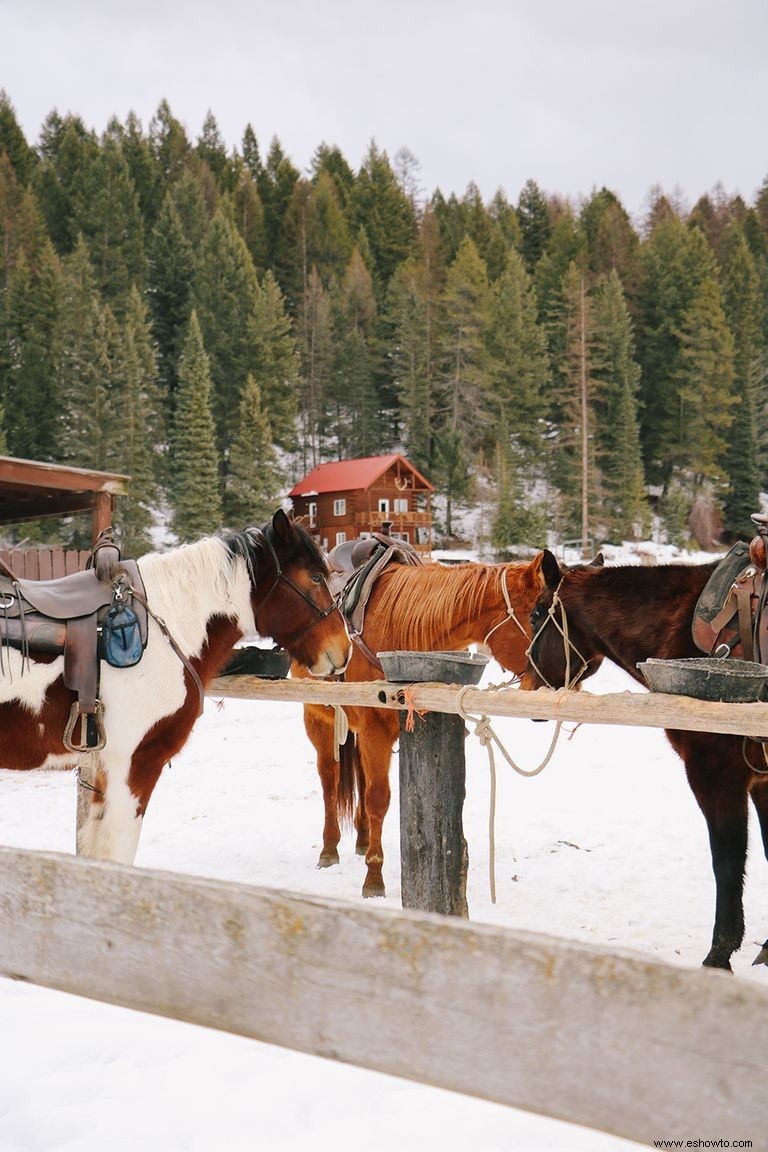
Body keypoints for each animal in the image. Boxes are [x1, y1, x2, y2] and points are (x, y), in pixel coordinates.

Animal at [294, 550, 552, 898]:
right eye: (536, 617)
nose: (552, 682)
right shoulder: (373, 729)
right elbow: (378, 798)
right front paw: (374, 878)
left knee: (359, 776)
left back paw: (362, 839)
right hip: (319, 721)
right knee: (329, 782)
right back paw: (329, 849)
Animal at [522, 548, 768, 972]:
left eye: (538, 614)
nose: (528, 682)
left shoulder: (715, 773)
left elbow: (727, 859)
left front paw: (719, 954)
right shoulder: (762, 779)